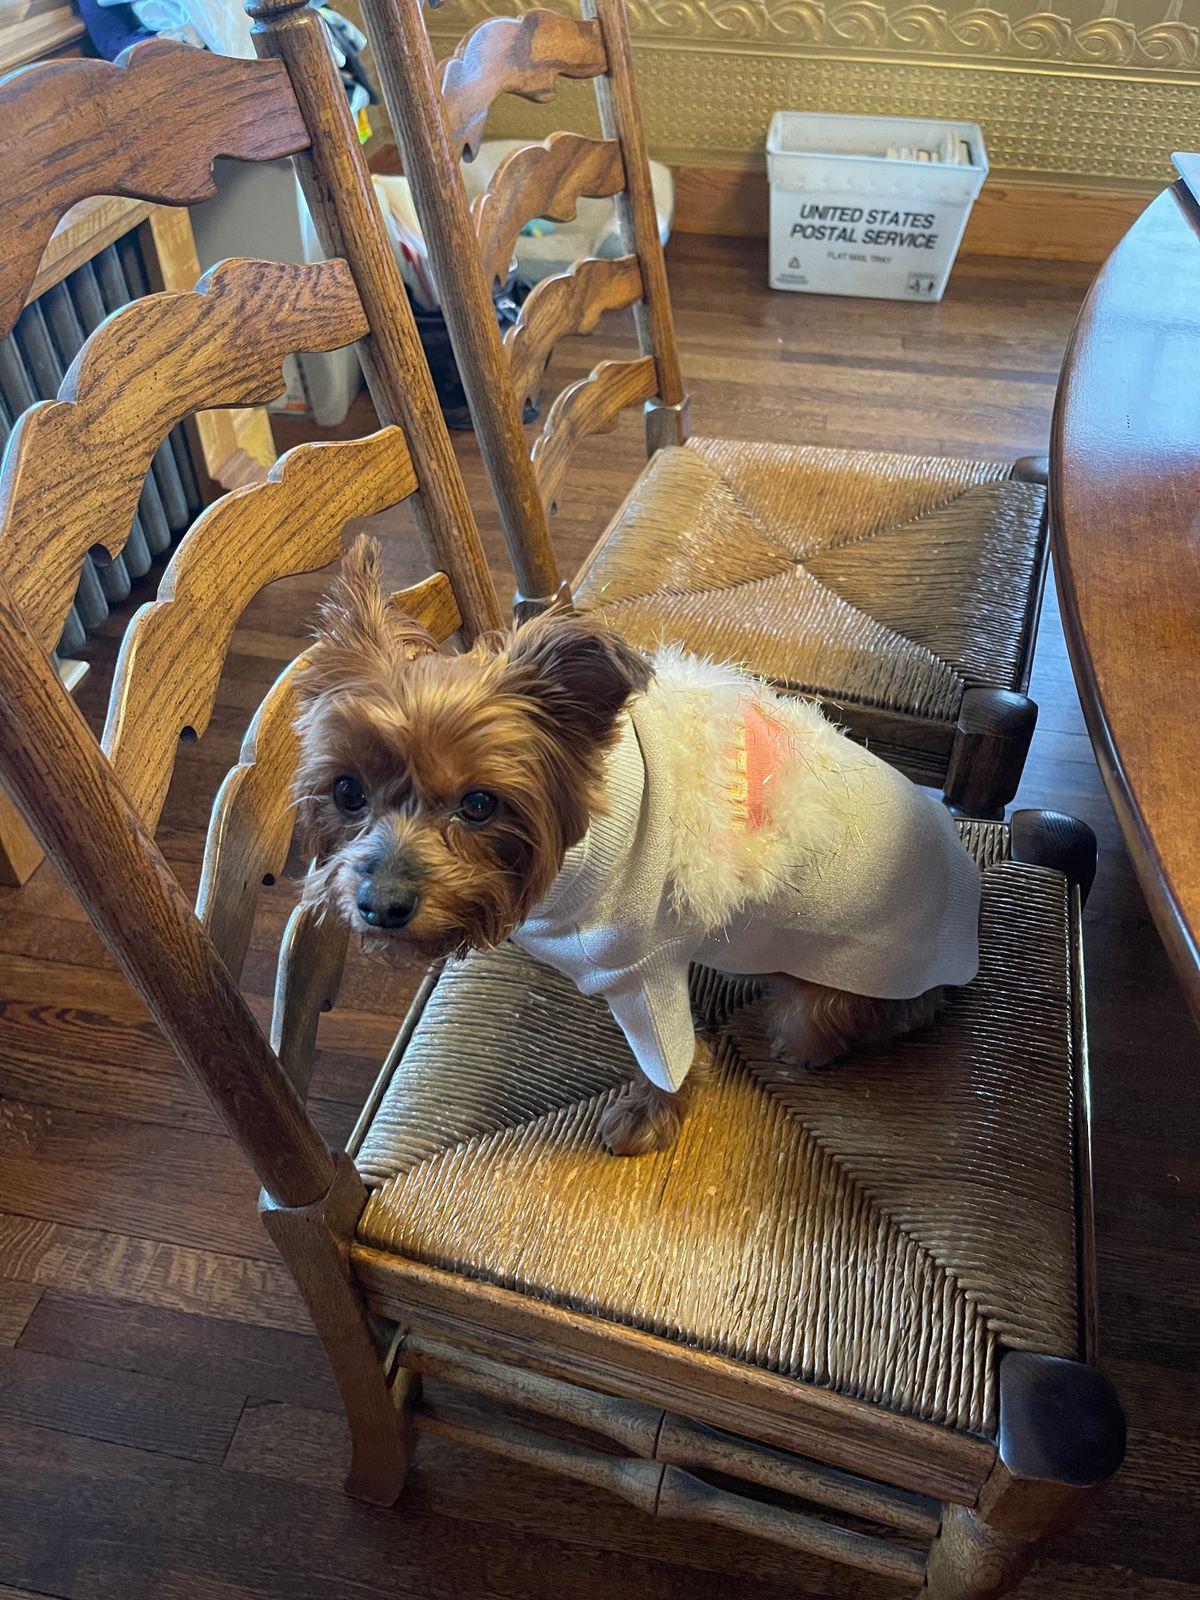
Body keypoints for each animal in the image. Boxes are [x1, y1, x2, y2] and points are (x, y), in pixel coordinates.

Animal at [294, 537, 981, 1156]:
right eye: (348, 791)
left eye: (480, 804)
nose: (380, 905)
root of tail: (968, 911)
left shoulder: (641, 973)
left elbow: (668, 1062)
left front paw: (649, 1118)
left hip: (841, 984)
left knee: (850, 1016)